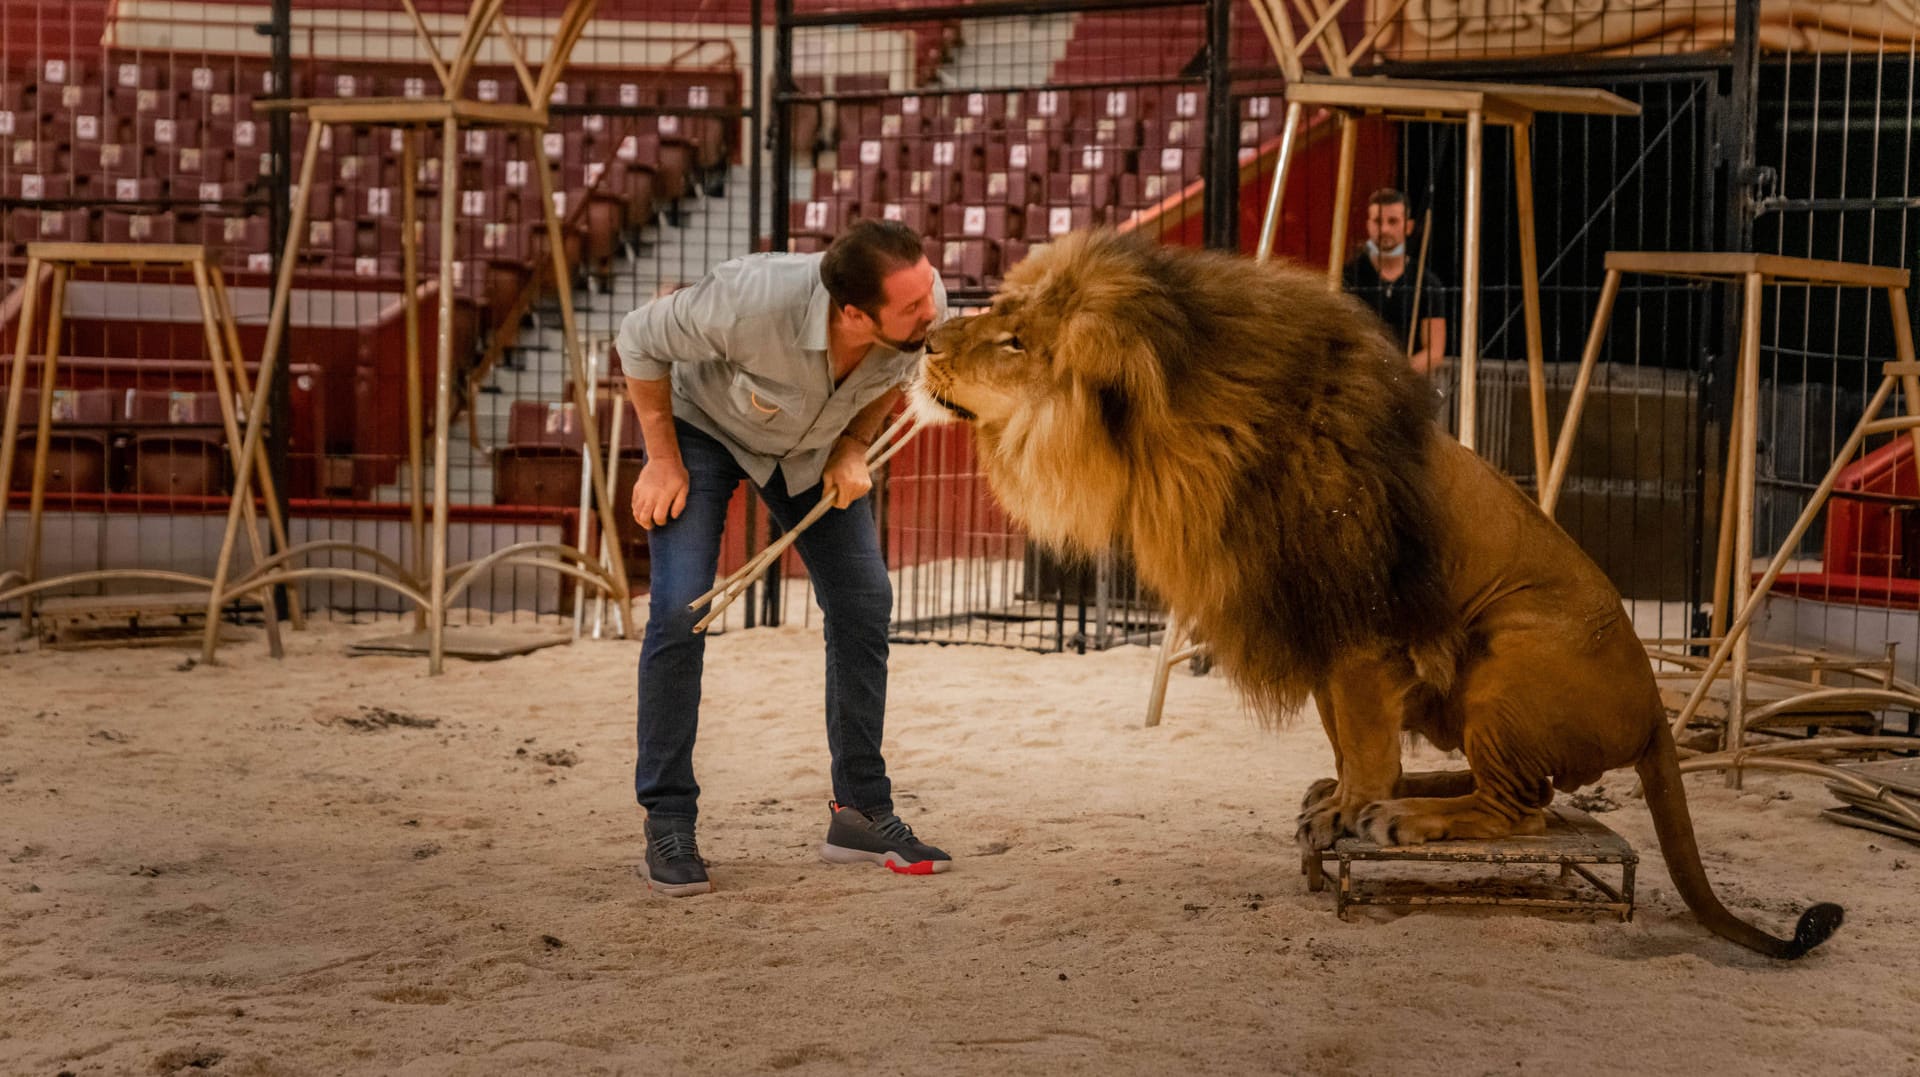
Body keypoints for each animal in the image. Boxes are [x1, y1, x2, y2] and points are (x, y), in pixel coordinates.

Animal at [913, 228, 1843, 956]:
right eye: (996, 311)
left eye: (1013, 342)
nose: (923, 340)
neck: (1173, 434)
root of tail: (1655, 713)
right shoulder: (1322, 629)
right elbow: (1344, 736)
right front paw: (1338, 797)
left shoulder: (1360, 628)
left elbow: (1362, 740)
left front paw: (1354, 808)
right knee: (1527, 792)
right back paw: (1415, 795)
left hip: (1509, 655)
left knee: (1524, 811)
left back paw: (1408, 817)